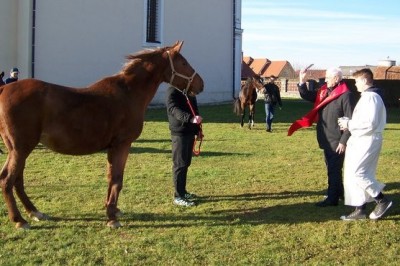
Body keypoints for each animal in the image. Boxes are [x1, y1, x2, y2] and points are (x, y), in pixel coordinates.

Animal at [0, 41, 205, 229]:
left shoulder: (112, 148)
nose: (200, 84)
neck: (129, 93)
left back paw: (34, 212)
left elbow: (110, 178)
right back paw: (19, 220)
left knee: (17, 180)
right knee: (8, 179)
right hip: (21, 148)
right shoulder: (122, 145)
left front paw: (112, 209)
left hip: (19, 149)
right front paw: (112, 218)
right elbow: (116, 180)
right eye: (183, 62)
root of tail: (4, 90)